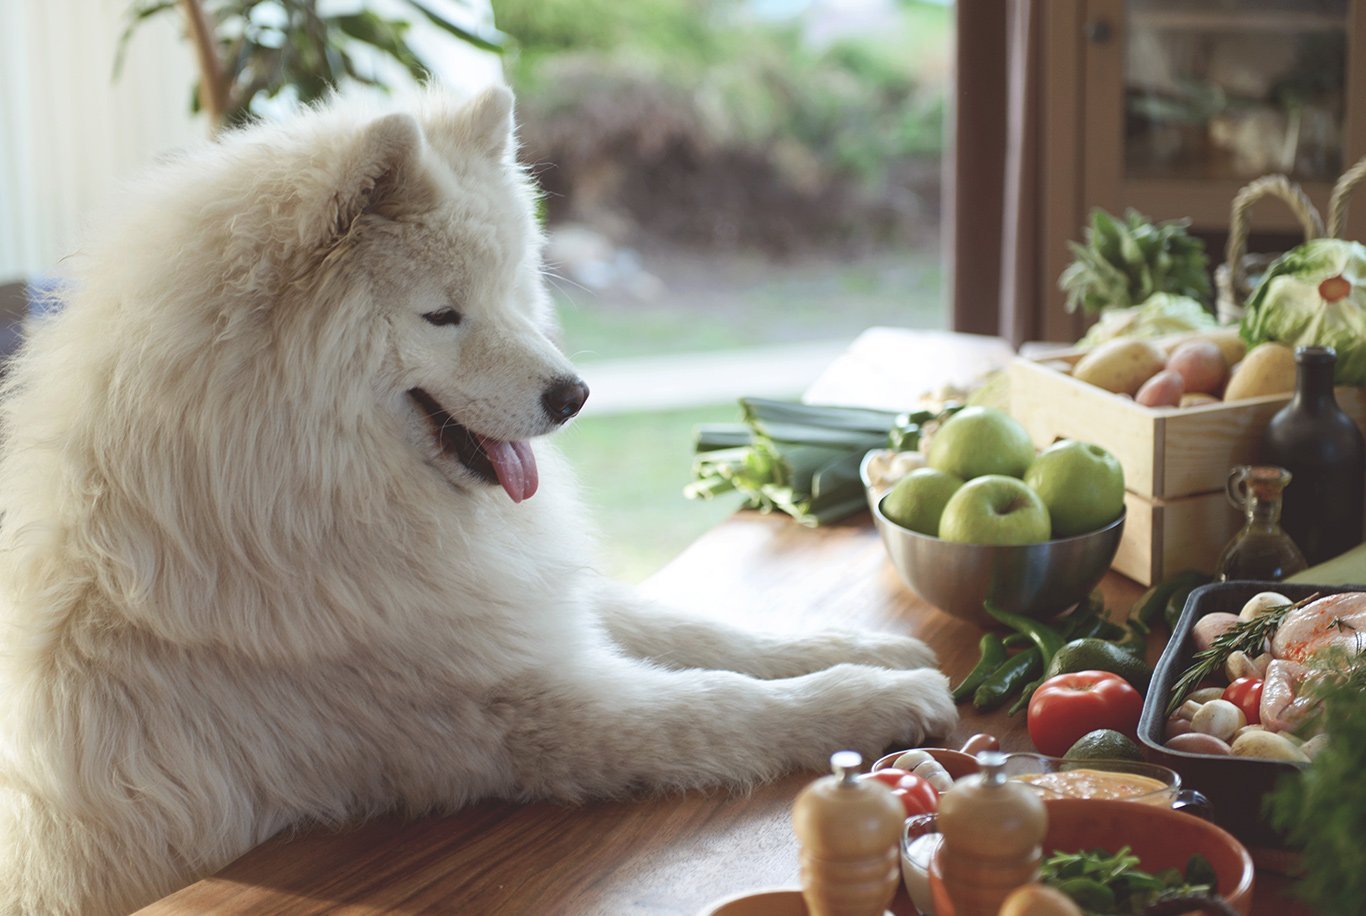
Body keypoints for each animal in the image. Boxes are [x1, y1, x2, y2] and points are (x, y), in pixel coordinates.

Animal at [0, 88, 956, 916]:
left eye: (512, 290)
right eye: (443, 315)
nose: (574, 396)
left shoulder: (505, 600)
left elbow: (703, 631)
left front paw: (856, 645)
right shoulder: (518, 707)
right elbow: (717, 704)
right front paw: (875, 699)